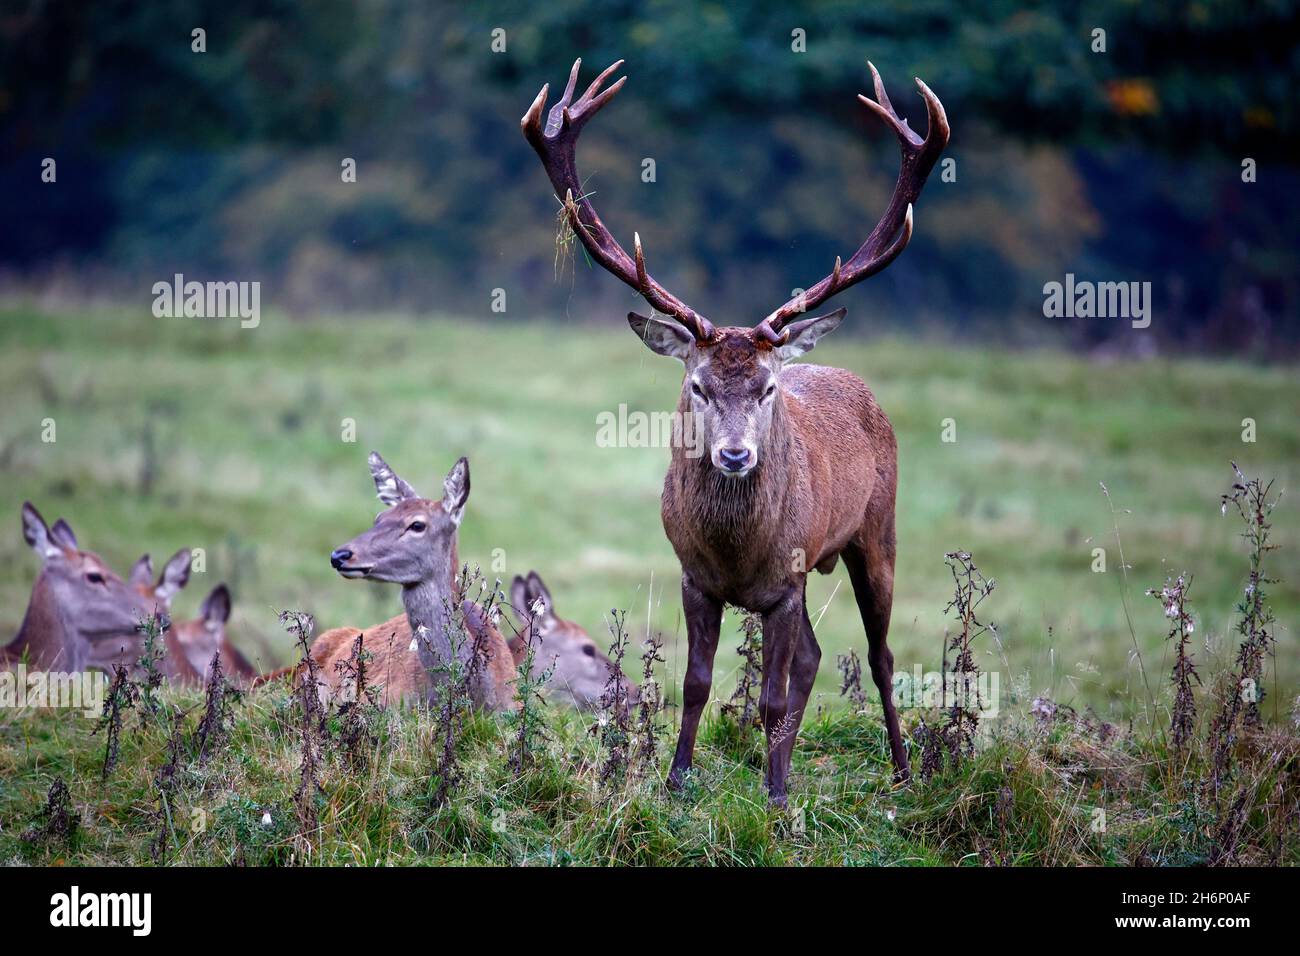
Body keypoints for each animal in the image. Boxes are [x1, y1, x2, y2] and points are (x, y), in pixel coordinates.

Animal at [523, 58, 948, 804]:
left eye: (768, 387)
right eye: (698, 384)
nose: (735, 454)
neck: (738, 553)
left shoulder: (786, 580)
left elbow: (771, 695)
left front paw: (775, 799)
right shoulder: (694, 577)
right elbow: (695, 684)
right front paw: (677, 781)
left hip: (876, 532)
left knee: (880, 654)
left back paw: (897, 770)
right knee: (815, 656)